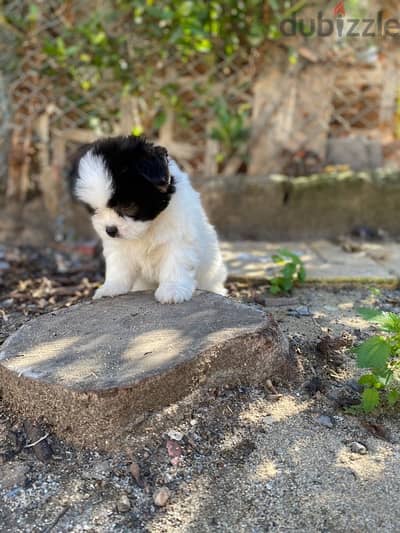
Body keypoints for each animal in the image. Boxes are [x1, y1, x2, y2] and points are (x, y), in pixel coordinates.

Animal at [72, 134, 228, 304]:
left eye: (128, 206)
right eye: (95, 210)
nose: (110, 230)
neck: (148, 228)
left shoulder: (179, 237)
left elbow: (176, 260)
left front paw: (172, 289)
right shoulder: (118, 246)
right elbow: (118, 264)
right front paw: (112, 287)